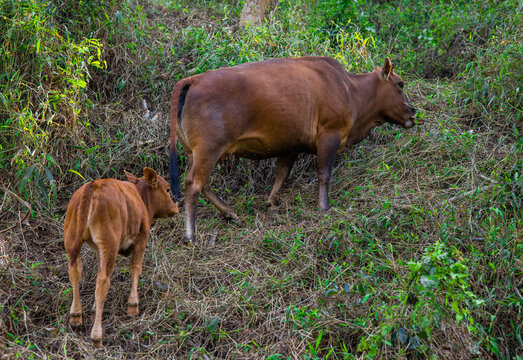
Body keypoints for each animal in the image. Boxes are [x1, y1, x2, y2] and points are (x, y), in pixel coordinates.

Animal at [63, 167, 180, 348]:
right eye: (167, 189)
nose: (175, 207)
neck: (140, 197)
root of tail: (92, 186)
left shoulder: (97, 248)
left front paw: (95, 308)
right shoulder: (142, 239)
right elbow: (135, 268)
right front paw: (133, 305)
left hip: (72, 238)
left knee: (75, 271)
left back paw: (76, 316)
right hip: (109, 243)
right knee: (103, 282)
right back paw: (97, 335)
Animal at [170, 56, 420, 243]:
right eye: (400, 84)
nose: (413, 111)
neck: (349, 89)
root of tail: (192, 80)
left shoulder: (291, 144)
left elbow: (282, 172)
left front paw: (271, 202)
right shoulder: (329, 134)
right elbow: (324, 173)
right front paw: (323, 206)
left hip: (195, 151)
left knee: (202, 183)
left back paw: (230, 213)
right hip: (209, 149)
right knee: (194, 184)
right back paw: (191, 235)